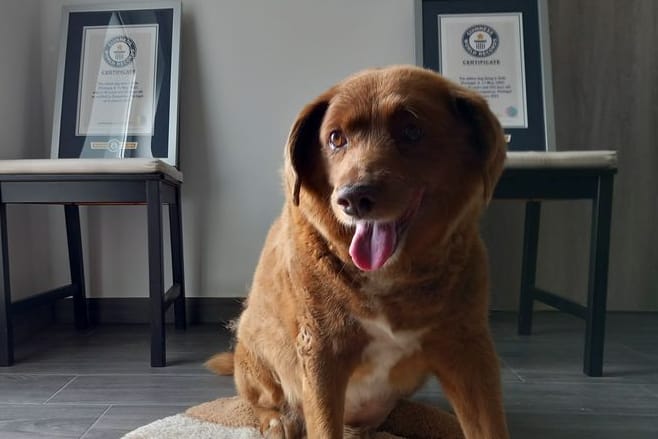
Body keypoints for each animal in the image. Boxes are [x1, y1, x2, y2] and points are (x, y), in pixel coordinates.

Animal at [208, 65, 504, 439]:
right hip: (253, 345)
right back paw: (277, 421)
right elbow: (322, 425)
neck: (390, 276)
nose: (352, 198)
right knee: (260, 400)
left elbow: (490, 425)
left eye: (412, 131)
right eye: (336, 138)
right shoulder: (322, 351)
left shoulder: (468, 350)